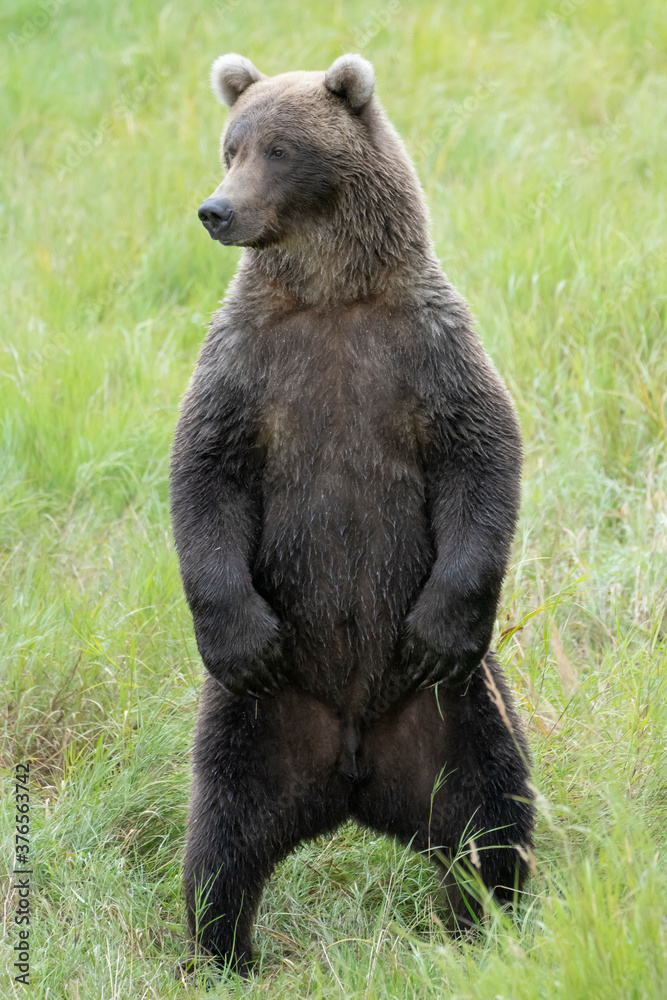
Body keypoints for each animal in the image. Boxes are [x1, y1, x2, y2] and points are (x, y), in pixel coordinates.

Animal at [170, 52, 535, 976]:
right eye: (230, 145)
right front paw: (239, 634)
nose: (216, 209)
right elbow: (203, 474)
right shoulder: (248, 363)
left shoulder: (424, 349)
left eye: (278, 148)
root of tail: (352, 769)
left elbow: (483, 455)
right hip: (257, 722)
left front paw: (439, 626)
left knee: (491, 817)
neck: (332, 295)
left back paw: (489, 925)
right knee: (223, 840)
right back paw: (225, 947)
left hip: (455, 715)